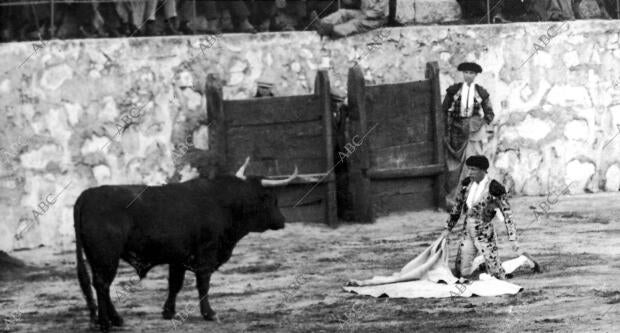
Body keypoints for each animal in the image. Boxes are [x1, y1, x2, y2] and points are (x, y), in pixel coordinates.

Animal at [74, 166, 296, 330]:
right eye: (272, 199)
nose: (283, 221)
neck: (223, 201)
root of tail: (88, 193)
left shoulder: (178, 258)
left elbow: (175, 284)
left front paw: (168, 312)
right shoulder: (206, 254)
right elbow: (203, 284)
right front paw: (209, 313)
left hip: (97, 258)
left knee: (101, 285)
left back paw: (115, 319)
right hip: (106, 256)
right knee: (102, 284)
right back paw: (106, 322)